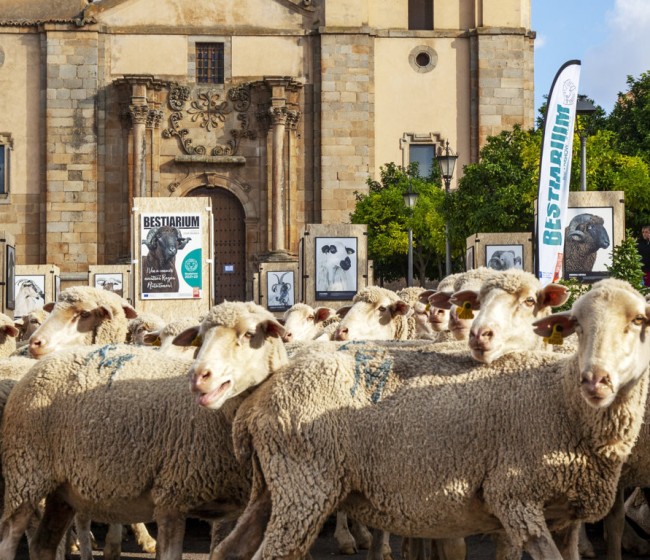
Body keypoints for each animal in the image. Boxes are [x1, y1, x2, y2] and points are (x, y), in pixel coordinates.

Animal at [194, 278, 648, 560]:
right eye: (578, 326)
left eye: (639, 321)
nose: (596, 378)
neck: (562, 399)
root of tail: (261, 395)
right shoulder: (515, 499)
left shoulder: (561, 515)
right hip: (303, 486)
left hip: (273, 489)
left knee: (229, 551)